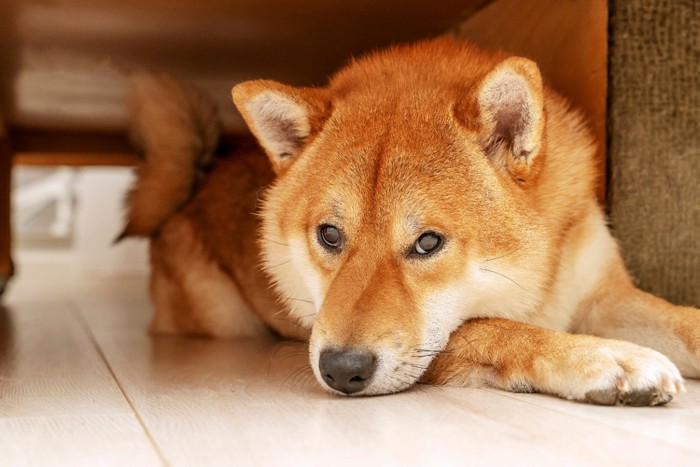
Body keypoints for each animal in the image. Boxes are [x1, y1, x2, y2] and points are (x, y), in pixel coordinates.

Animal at [121, 39, 700, 406]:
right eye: (329, 235)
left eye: (427, 243)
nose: (341, 370)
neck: (541, 281)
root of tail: (199, 177)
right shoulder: (447, 339)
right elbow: (502, 330)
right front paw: (604, 358)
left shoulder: (603, 295)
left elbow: (678, 319)